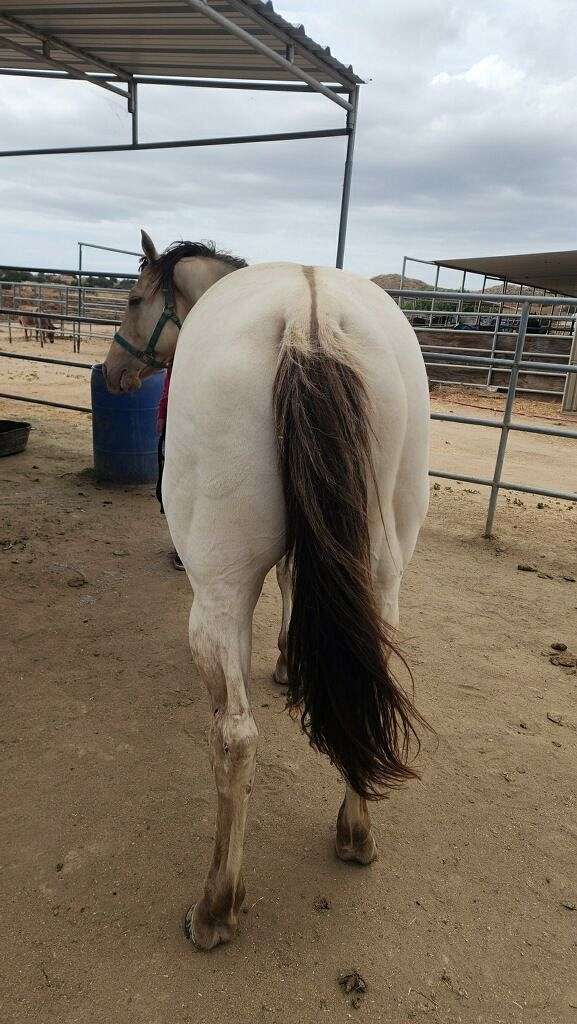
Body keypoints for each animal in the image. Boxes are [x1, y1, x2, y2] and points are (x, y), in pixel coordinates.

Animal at [103, 230, 430, 951]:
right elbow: (294, 582)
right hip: (384, 565)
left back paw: (216, 906)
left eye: (134, 299)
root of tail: (309, 317)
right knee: (374, 680)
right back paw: (355, 833)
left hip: (217, 596)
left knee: (235, 737)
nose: (111, 374)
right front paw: (288, 662)